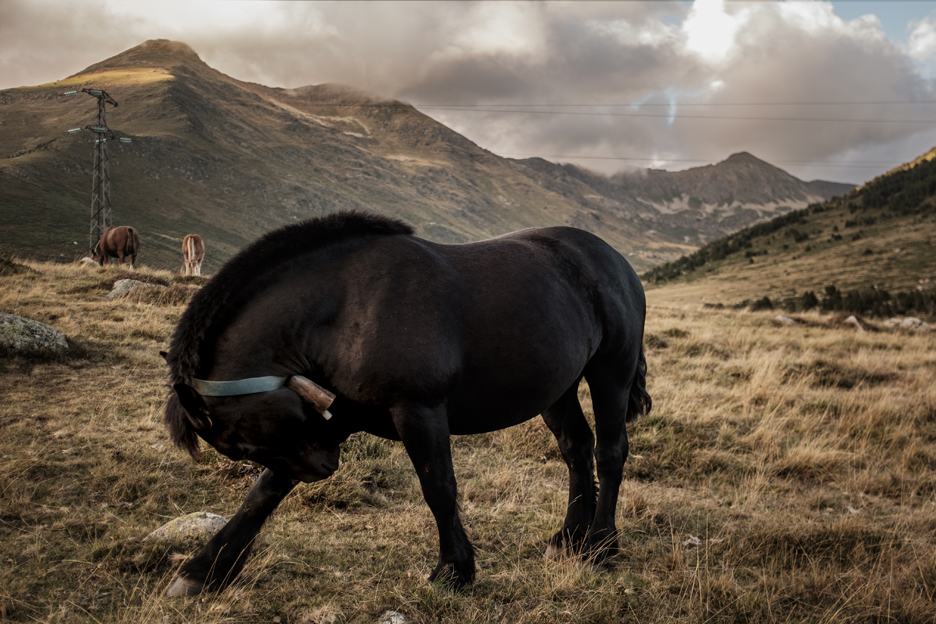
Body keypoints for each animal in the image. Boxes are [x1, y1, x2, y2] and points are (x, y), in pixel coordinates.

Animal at [163, 210, 652, 596]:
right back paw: (570, 539)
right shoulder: (327, 421)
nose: (325, 466)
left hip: (611, 374)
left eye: (240, 442)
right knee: (576, 448)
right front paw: (203, 571)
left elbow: (439, 488)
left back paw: (601, 546)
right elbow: (262, 495)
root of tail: (615, 259)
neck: (342, 308)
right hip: (558, 389)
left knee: (609, 452)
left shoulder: (417, 410)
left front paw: (454, 570)